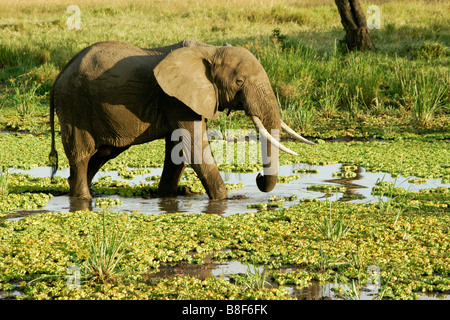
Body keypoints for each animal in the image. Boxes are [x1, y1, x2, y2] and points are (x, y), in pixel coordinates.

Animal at [49, 38, 314, 201]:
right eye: (239, 82)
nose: (258, 178)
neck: (210, 50)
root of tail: (59, 73)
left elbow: (177, 151)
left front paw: (166, 196)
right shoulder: (176, 99)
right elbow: (195, 148)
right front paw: (224, 201)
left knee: (103, 153)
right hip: (75, 105)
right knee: (82, 154)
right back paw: (83, 198)